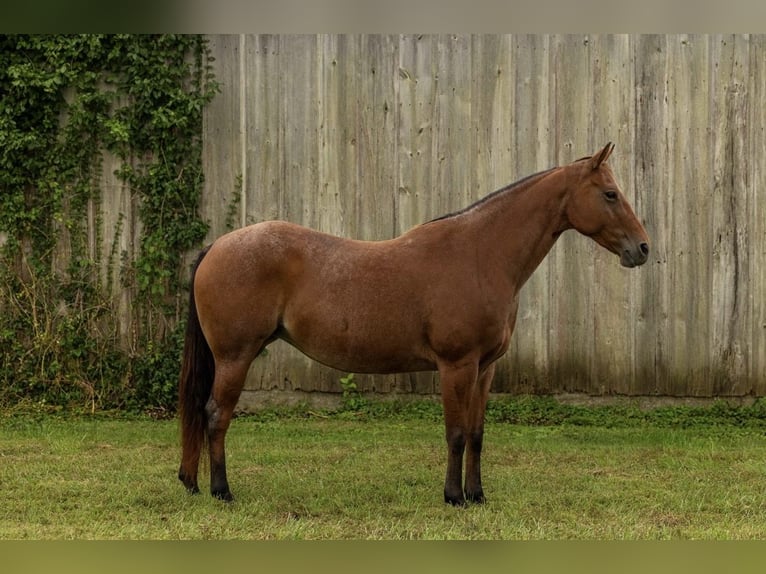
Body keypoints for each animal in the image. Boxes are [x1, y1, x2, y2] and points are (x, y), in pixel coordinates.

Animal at [177, 142, 650, 506]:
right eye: (610, 194)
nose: (642, 248)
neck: (480, 254)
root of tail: (217, 246)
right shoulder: (456, 365)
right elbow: (455, 433)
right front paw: (454, 497)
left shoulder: (484, 369)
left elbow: (476, 433)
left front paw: (477, 495)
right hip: (235, 357)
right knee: (216, 414)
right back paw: (221, 491)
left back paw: (193, 483)